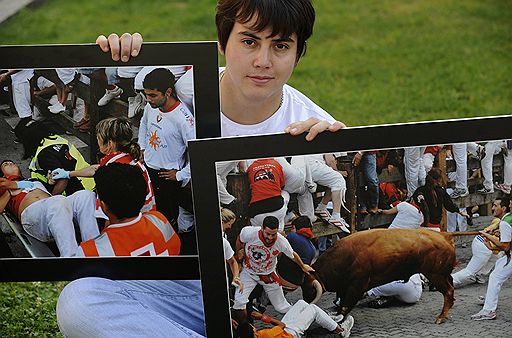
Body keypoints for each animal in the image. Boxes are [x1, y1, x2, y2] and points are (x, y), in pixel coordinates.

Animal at [302, 228, 478, 324]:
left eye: (310, 288)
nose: (306, 301)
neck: (345, 255)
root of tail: (444, 235)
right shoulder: (345, 287)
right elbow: (342, 303)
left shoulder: (356, 285)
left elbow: (345, 305)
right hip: (443, 274)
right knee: (451, 288)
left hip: (436, 275)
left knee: (448, 292)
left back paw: (441, 317)